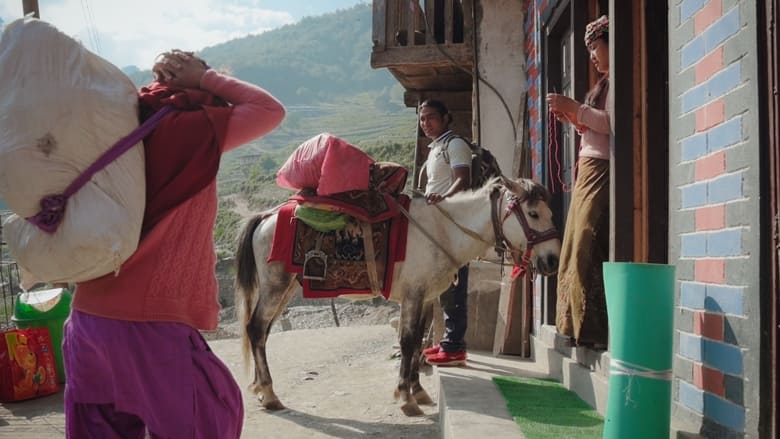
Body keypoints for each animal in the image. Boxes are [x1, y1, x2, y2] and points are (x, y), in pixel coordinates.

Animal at [233, 175, 560, 416]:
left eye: (549, 212)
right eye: (533, 213)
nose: (553, 260)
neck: (442, 231)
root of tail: (266, 217)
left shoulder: (426, 298)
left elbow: (418, 342)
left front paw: (418, 391)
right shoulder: (413, 295)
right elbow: (407, 341)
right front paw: (406, 399)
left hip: (286, 287)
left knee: (261, 332)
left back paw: (261, 390)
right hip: (276, 286)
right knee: (256, 328)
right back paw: (270, 393)